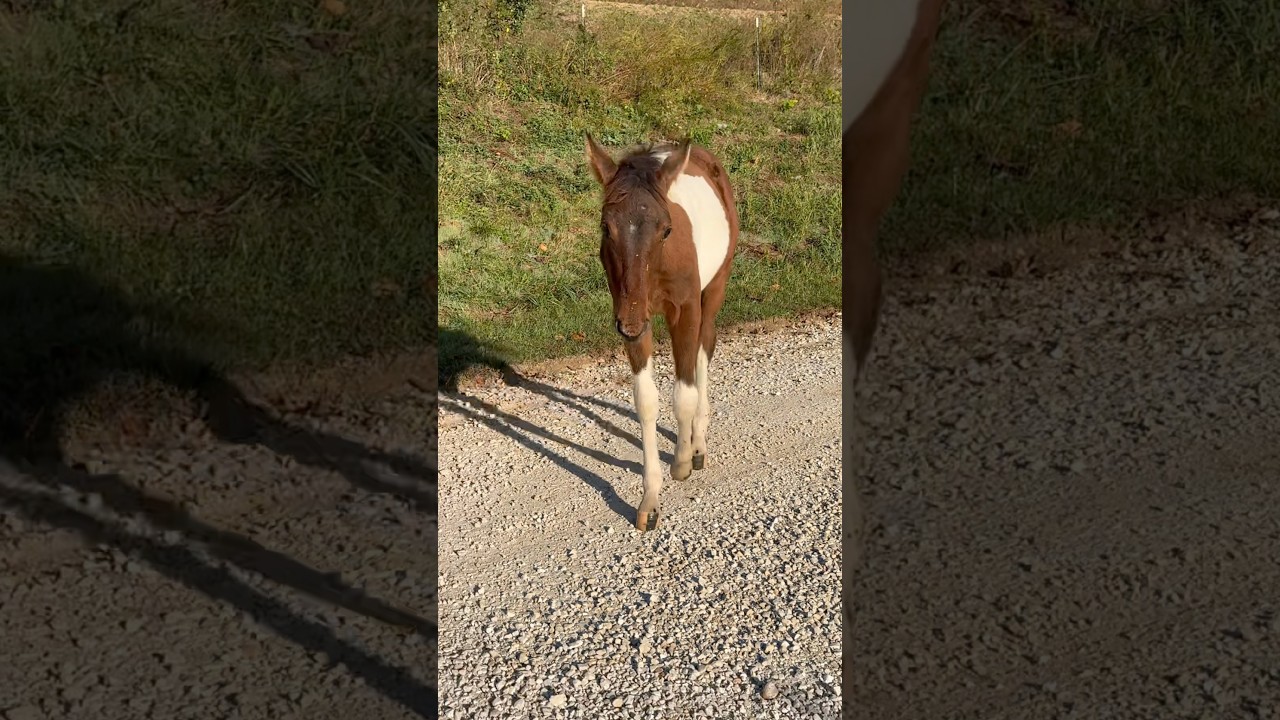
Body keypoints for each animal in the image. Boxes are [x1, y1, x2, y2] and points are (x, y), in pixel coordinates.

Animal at [585, 134, 740, 533]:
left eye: (667, 230)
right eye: (606, 227)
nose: (628, 324)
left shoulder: (683, 311)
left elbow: (683, 394)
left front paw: (682, 461)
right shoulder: (632, 315)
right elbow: (646, 402)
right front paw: (650, 500)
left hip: (713, 290)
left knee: (703, 350)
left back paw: (697, 444)